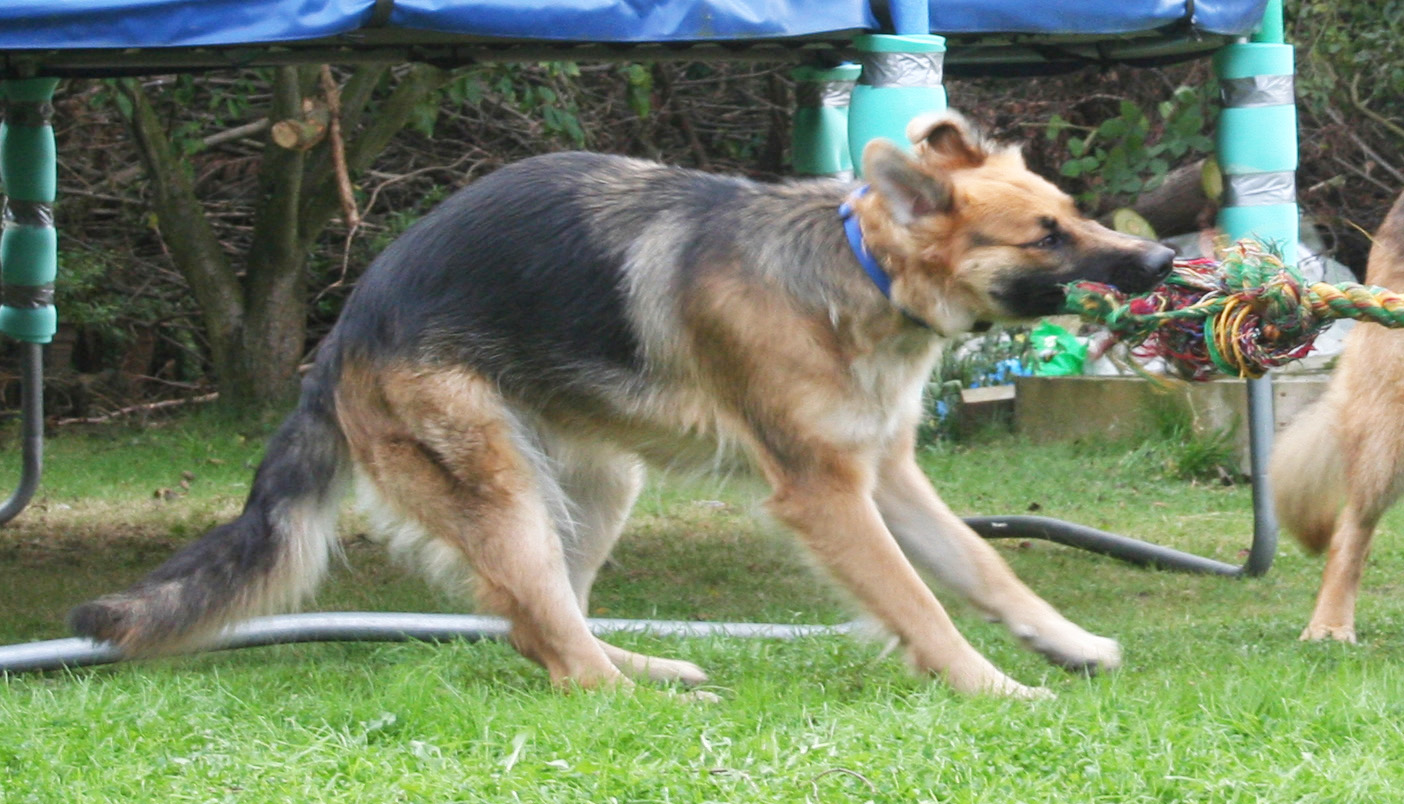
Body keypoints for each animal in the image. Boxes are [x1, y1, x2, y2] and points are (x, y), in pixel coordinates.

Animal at [74, 112, 1173, 695]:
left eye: (1073, 213)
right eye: (1046, 236)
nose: (1164, 261)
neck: (853, 272)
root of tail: (341, 338)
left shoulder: (887, 474)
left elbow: (983, 567)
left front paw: (1061, 642)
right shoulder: (826, 495)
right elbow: (918, 601)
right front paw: (994, 687)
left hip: (597, 486)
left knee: (537, 621)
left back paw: (646, 667)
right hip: (504, 490)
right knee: (547, 641)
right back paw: (634, 692)